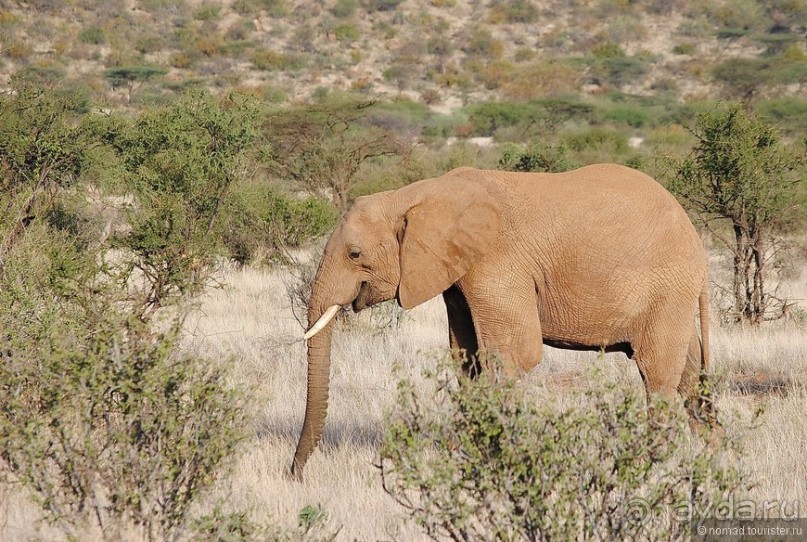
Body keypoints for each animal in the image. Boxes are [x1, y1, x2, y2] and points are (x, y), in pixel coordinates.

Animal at [292, 164, 712, 482]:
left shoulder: (497, 265)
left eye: (354, 253)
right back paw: (713, 454)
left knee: (657, 375)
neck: (415, 195)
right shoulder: (457, 275)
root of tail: (696, 239)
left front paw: (496, 460)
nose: (294, 474)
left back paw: (642, 469)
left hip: (668, 290)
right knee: (689, 376)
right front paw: (467, 457)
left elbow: (511, 357)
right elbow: (467, 360)